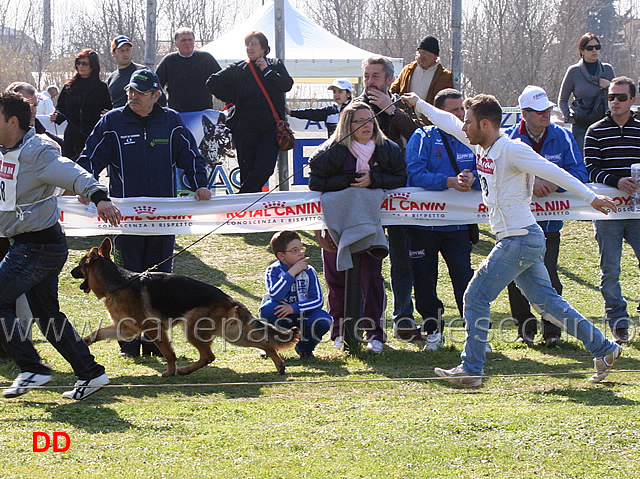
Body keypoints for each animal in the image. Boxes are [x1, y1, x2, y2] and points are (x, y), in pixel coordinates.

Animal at [71, 238, 302, 376]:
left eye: (80, 266)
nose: (70, 272)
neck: (118, 283)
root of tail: (230, 299)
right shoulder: (126, 329)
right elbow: (98, 333)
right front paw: (83, 342)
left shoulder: (154, 329)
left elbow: (168, 353)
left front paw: (170, 371)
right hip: (233, 335)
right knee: (265, 343)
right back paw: (279, 364)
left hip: (194, 329)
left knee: (209, 356)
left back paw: (185, 370)